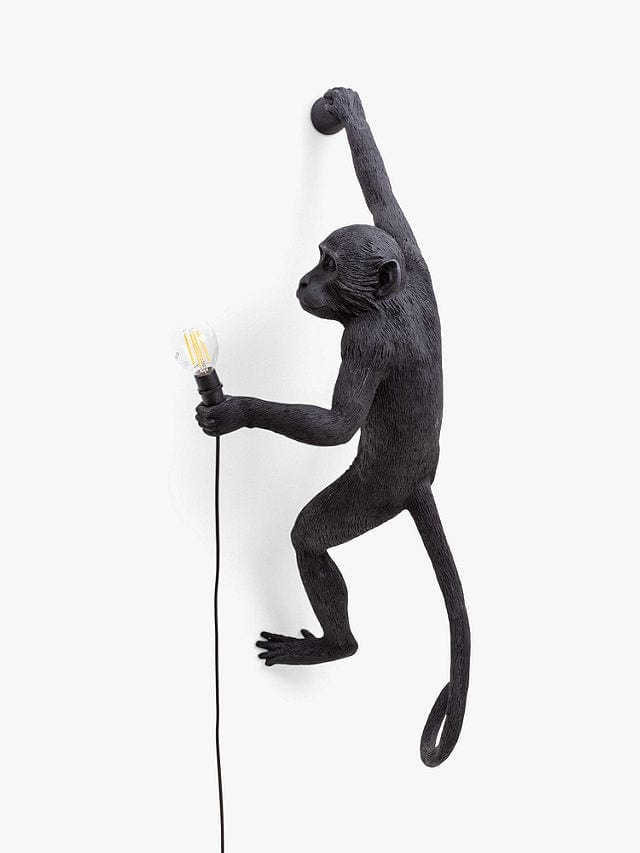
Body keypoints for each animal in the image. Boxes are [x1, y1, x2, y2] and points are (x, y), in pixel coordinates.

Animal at [196, 88, 470, 767]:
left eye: (328, 265)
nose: (303, 281)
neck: (388, 301)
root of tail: (420, 482)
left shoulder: (364, 341)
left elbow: (338, 427)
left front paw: (230, 411)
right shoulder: (413, 255)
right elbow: (384, 193)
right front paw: (342, 109)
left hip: (373, 494)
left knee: (309, 537)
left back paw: (332, 645)